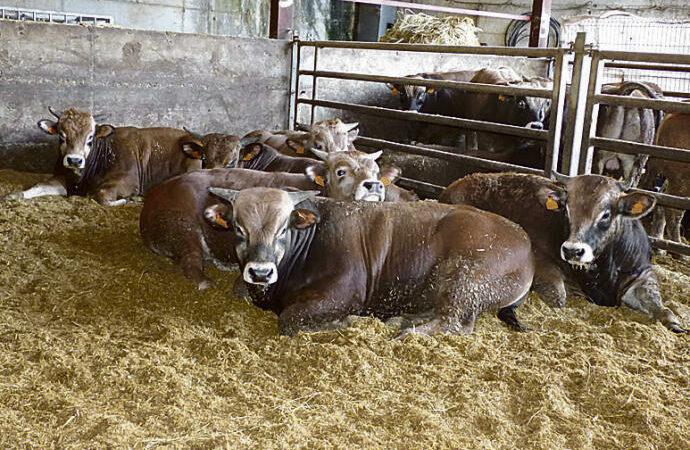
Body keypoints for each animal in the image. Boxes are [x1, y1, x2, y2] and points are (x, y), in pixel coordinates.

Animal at [2, 107, 200, 206]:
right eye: (61, 135)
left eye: (90, 138)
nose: (74, 160)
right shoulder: (61, 178)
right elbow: (37, 187)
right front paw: (12, 196)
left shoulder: (128, 181)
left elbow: (102, 197)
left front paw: (131, 199)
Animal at [204, 185, 532, 336]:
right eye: (238, 228)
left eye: (283, 228)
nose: (260, 272)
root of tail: (523, 240)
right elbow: (238, 289)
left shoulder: (343, 295)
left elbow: (289, 319)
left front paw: (345, 322)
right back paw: (403, 319)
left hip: (465, 280)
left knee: (456, 322)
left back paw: (407, 331)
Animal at [438, 172, 684, 334]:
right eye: (566, 210)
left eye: (606, 214)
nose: (573, 250)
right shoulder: (539, 259)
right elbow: (559, 297)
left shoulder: (642, 273)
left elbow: (658, 303)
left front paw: (673, 322)